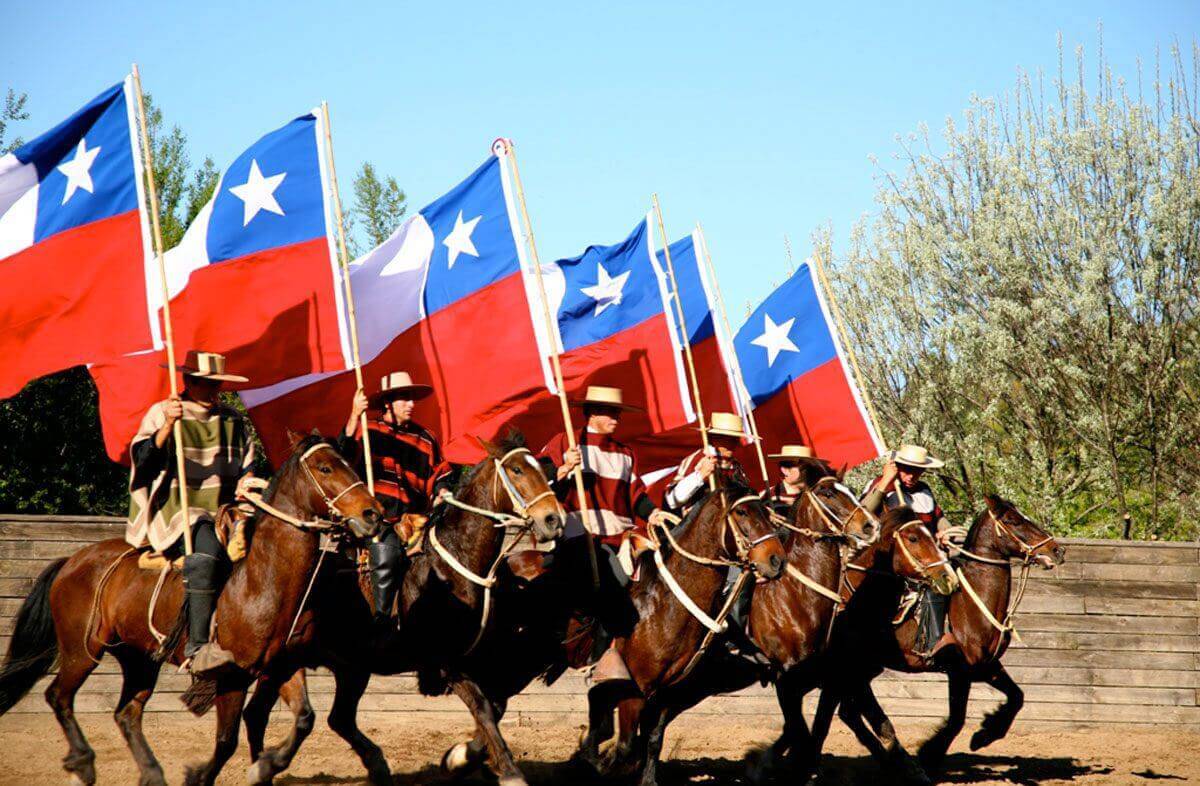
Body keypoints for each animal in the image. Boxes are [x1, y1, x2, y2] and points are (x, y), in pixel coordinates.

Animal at [0, 434, 379, 786]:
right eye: (325, 468)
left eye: (349, 463)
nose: (372, 513)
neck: (260, 580)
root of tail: (72, 561)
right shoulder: (232, 677)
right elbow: (226, 741)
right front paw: (201, 774)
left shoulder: (280, 667)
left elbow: (304, 719)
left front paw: (266, 766)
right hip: (81, 651)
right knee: (59, 696)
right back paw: (83, 764)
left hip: (139, 659)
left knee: (127, 713)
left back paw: (152, 773)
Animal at [241, 434, 568, 786]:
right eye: (517, 469)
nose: (553, 520)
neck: (453, 564)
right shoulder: (447, 663)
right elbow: (483, 708)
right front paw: (508, 771)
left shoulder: (478, 662)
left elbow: (495, 707)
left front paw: (460, 757)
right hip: (282, 663)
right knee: (258, 713)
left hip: (351, 668)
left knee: (338, 718)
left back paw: (374, 765)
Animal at [576, 480, 792, 786]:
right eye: (742, 512)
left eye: (765, 511)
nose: (777, 561)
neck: (663, 607)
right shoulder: (636, 689)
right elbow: (626, 745)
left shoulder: (668, 691)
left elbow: (652, 739)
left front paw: (647, 779)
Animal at [825, 494, 1070, 782]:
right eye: (1013, 520)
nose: (1056, 550)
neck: (972, 601)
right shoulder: (960, 671)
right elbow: (957, 719)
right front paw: (930, 755)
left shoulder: (987, 666)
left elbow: (1017, 697)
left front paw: (985, 734)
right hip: (856, 667)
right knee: (854, 710)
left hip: (865, 668)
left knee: (850, 711)